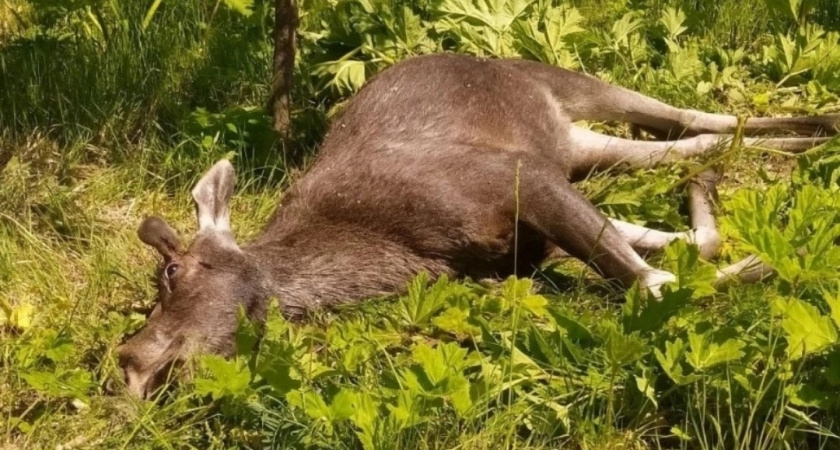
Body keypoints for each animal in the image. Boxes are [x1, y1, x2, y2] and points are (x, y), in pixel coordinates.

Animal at [116, 52, 832, 398]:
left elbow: (650, 280)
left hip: (569, 88)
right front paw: (732, 238)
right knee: (696, 141)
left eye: (172, 272)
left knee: (690, 115)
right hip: (579, 145)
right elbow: (676, 250)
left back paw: (824, 122)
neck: (393, 248)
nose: (130, 362)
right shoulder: (529, 244)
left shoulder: (514, 175)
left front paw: (759, 265)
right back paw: (800, 140)